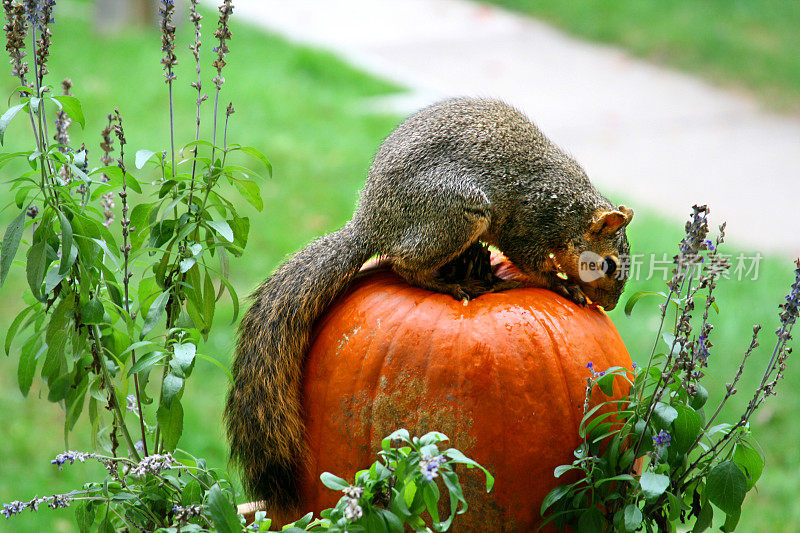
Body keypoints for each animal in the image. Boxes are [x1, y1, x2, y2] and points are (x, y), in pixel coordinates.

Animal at [227, 97, 636, 510]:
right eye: (607, 265)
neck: (572, 211)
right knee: (404, 264)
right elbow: (532, 261)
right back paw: (452, 284)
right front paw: (565, 287)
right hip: (456, 215)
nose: (610, 305)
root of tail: (371, 225)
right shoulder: (531, 224)